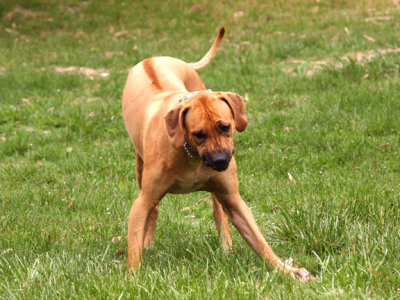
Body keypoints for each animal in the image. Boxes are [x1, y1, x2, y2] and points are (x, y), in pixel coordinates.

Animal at [120, 27, 314, 282]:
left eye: (225, 126)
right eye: (198, 134)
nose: (221, 161)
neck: (191, 155)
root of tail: (153, 59)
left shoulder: (234, 199)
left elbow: (260, 241)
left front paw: (286, 269)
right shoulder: (141, 203)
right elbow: (136, 238)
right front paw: (133, 277)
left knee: (218, 210)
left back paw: (226, 247)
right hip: (140, 167)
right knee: (154, 209)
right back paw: (149, 243)